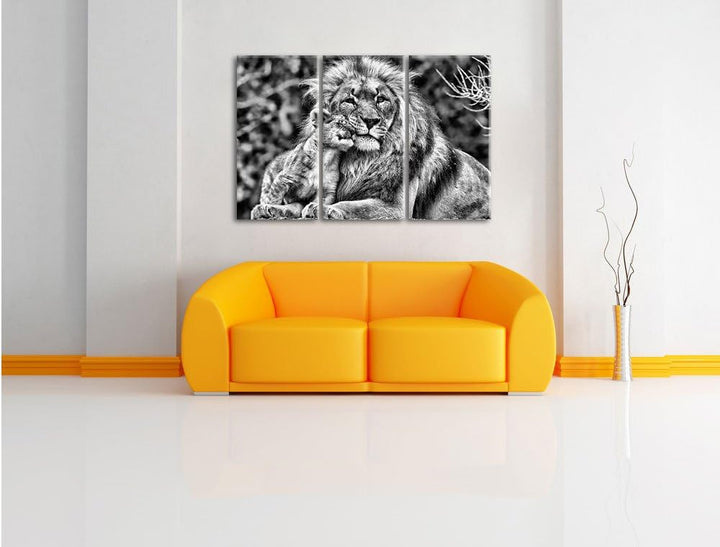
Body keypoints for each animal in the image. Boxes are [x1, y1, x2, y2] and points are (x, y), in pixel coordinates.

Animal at [309, 56, 490, 220]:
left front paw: (327, 209)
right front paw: (315, 206)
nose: (370, 120)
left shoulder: (397, 208)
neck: (361, 159)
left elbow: (354, 206)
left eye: (381, 99)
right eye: (349, 101)